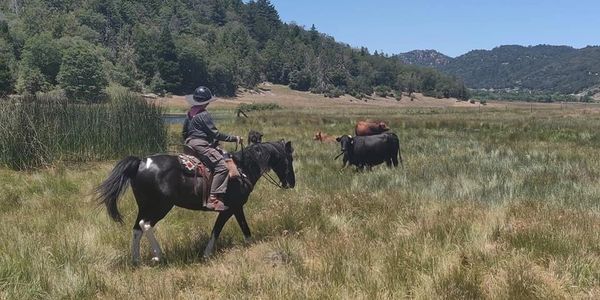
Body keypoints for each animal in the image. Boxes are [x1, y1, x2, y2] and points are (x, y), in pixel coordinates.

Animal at [93, 140, 296, 262]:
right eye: (289, 159)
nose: (292, 183)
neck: (242, 168)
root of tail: (141, 162)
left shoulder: (235, 208)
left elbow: (240, 228)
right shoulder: (231, 208)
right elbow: (222, 230)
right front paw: (207, 254)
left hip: (145, 206)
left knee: (137, 229)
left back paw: (136, 260)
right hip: (160, 206)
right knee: (146, 224)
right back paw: (159, 256)